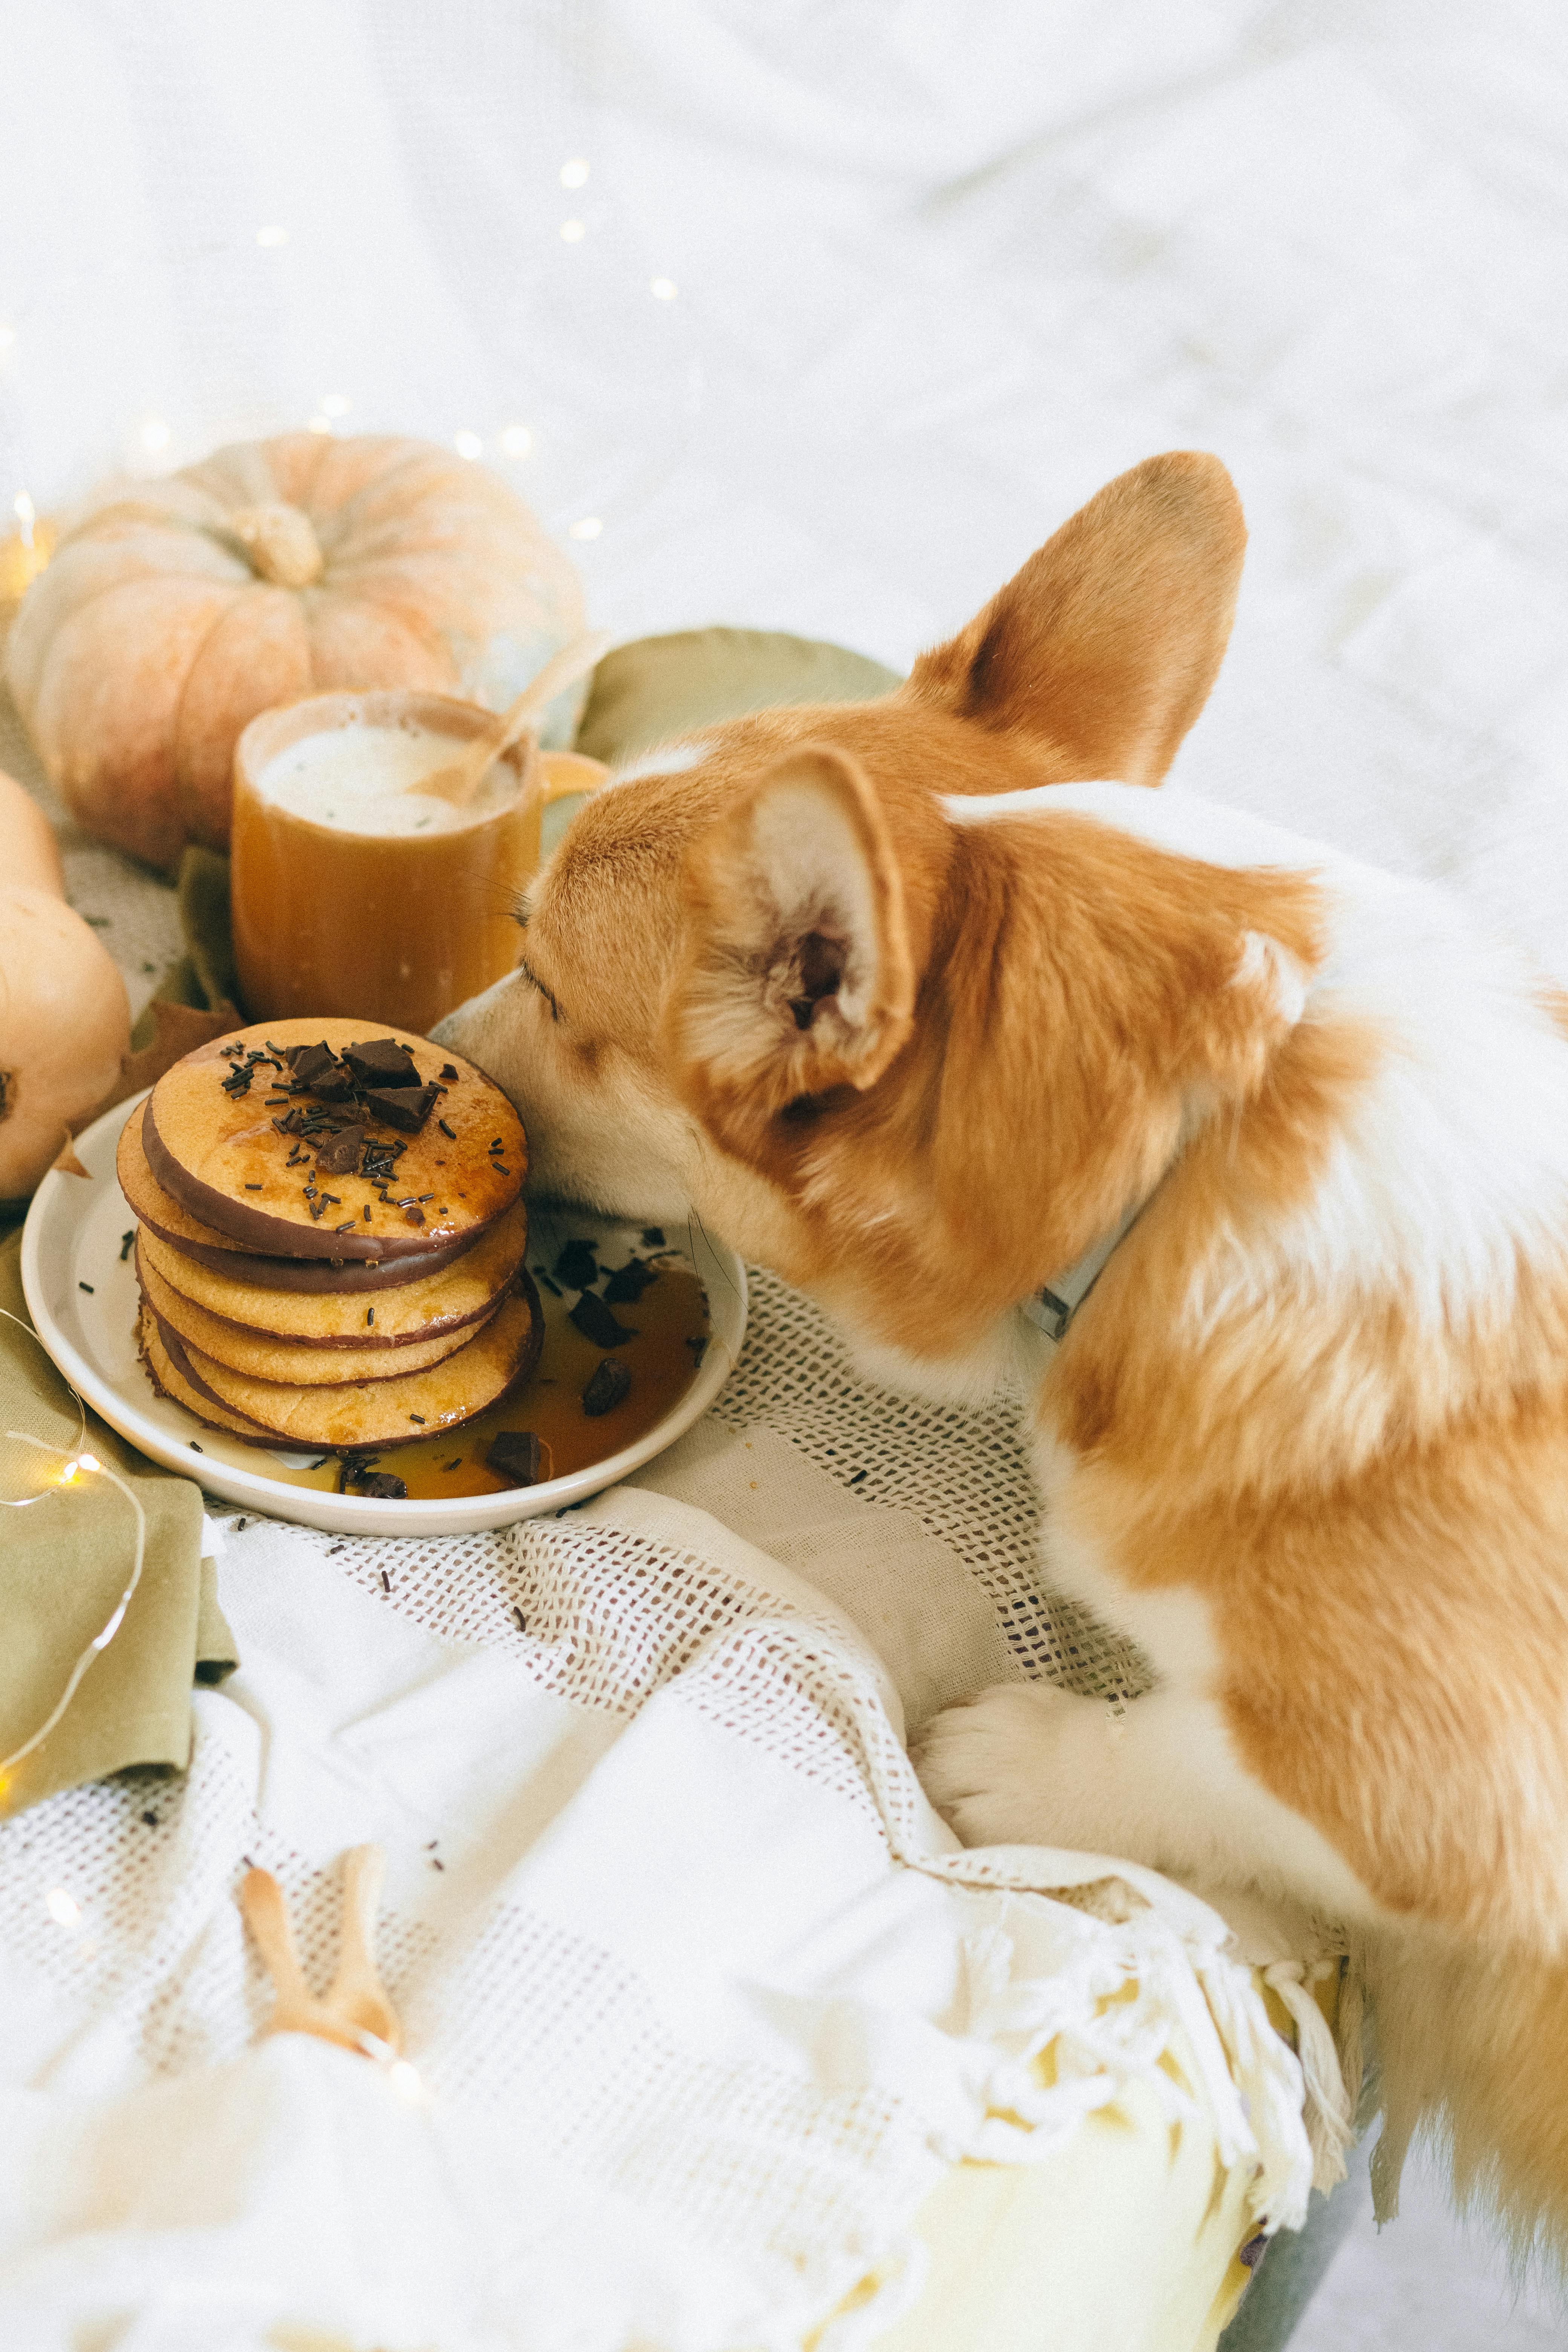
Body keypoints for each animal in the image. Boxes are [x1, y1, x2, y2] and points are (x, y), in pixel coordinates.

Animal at [435, 454, 1568, 2258]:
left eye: (544, 985)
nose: (424, 1049)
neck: (1184, 1155)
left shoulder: (1445, 1810)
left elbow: (1196, 1761)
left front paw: (1010, 1760)